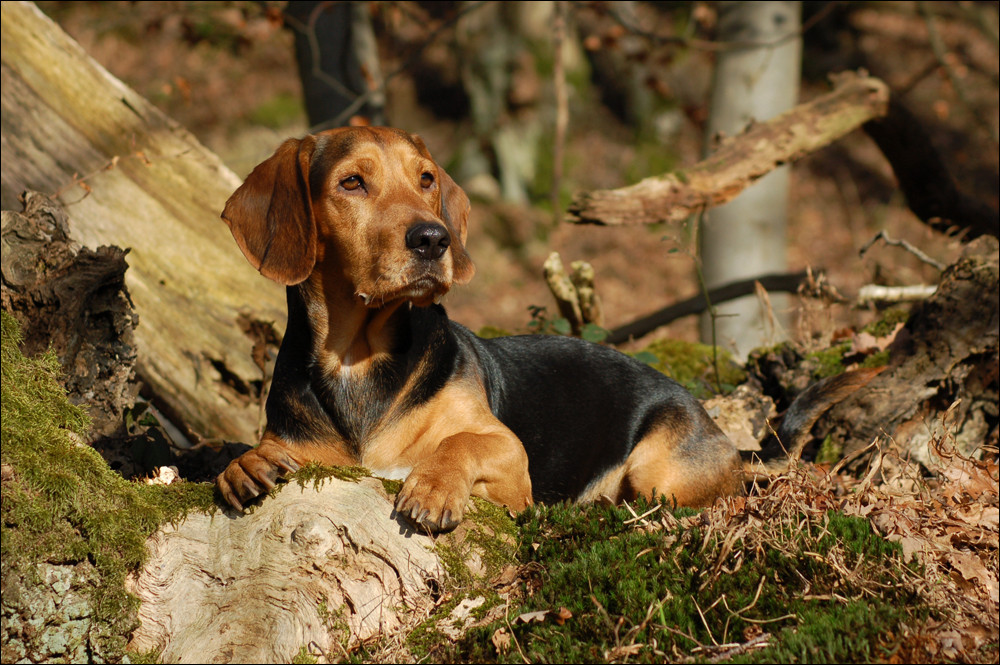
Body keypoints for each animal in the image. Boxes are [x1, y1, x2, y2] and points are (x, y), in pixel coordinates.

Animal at [217, 126, 868, 528]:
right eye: (352, 182)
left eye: (427, 179)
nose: (434, 238)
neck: (359, 359)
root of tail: (724, 435)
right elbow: (259, 454)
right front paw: (246, 465)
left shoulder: (510, 460)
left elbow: (460, 442)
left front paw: (432, 486)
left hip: (658, 471)